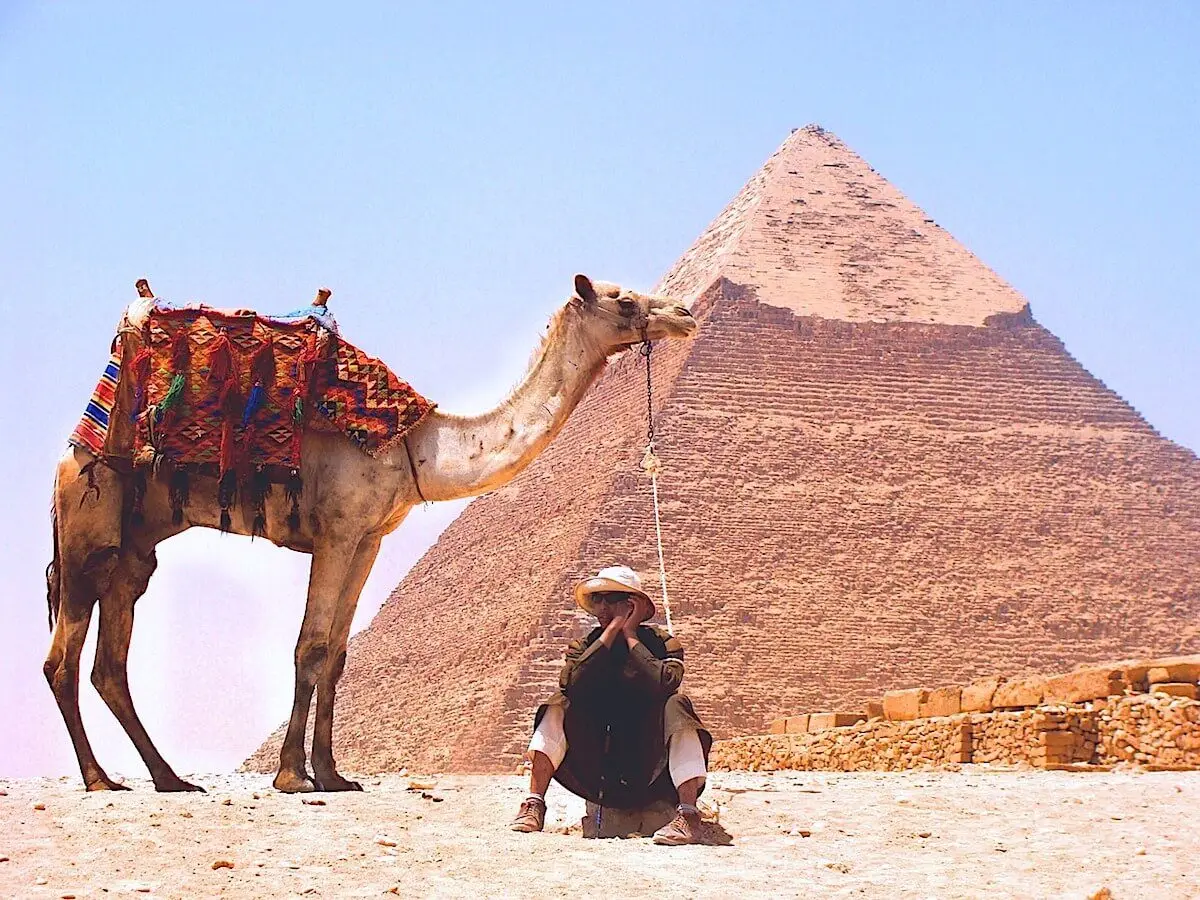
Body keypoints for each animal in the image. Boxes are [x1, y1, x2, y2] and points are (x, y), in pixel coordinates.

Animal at [44, 274, 697, 793]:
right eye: (624, 300)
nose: (684, 314)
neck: (416, 446)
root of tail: (71, 450)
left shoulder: (369, 538)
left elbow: (336, 653)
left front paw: (334, 774)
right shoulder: (335, 531)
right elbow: (309, 646)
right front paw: (292, 777)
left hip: (132, 551)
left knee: (109, 663)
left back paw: (169, 779)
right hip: (86, 527)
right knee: (62, 660)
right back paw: (101, 780)